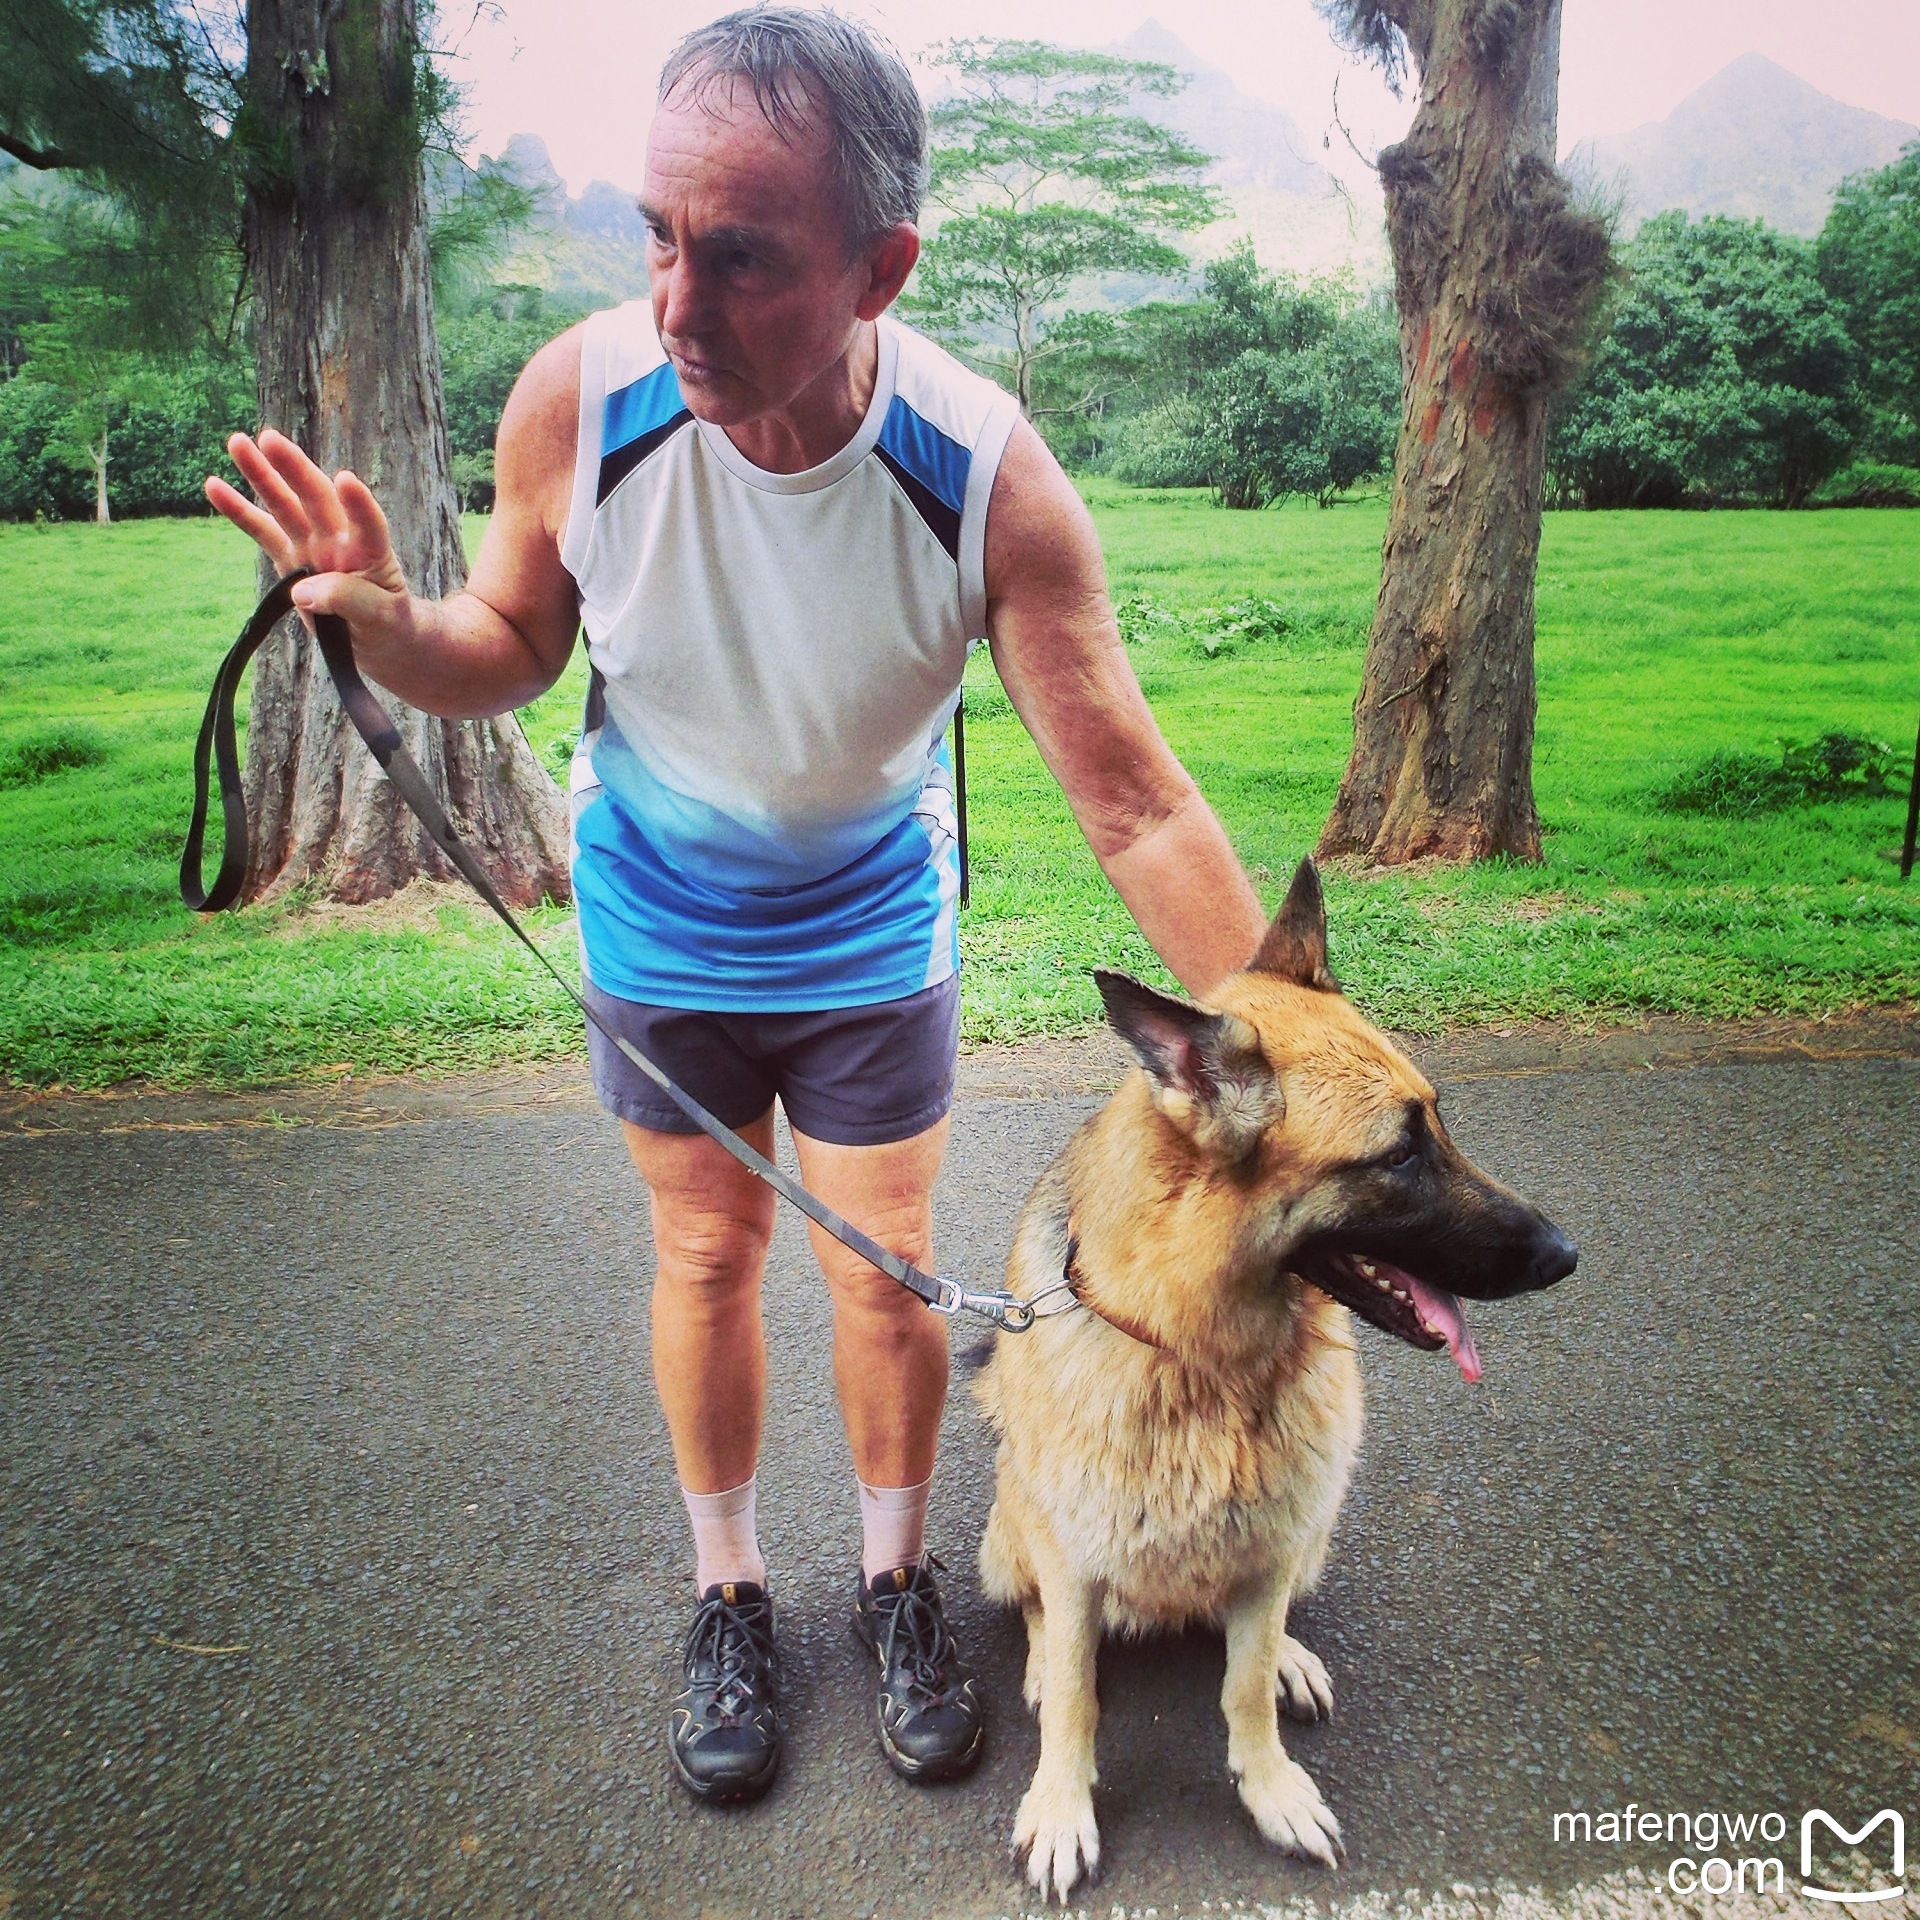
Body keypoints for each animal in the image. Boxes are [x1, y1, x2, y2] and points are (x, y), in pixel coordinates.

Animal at [975, 864, 1574, 1896]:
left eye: (1439, 1122)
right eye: (1399, 1155)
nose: (1564, 1256)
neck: (1201, 1349)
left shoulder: (1268, 1548)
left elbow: (1244, 1684)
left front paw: (1271, 1787)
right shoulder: (1075, 1555)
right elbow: (1080, 1699)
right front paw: (1060, 1803)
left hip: (1313, 1523)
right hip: (1017, 1521)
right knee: (1044, 1617)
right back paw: (1046, 1662)